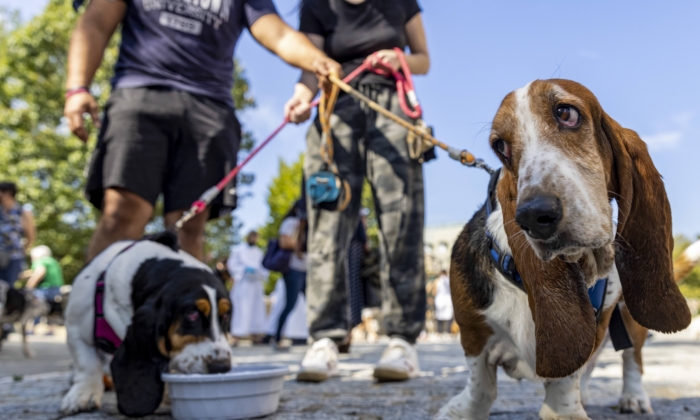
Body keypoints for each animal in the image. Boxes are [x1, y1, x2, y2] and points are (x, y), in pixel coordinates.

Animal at [61, 233, 234, 416]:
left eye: (226, 314)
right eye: (191, 313)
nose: (222, 366)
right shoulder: (76, 330)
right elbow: (87, 365)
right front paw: (83, 395)